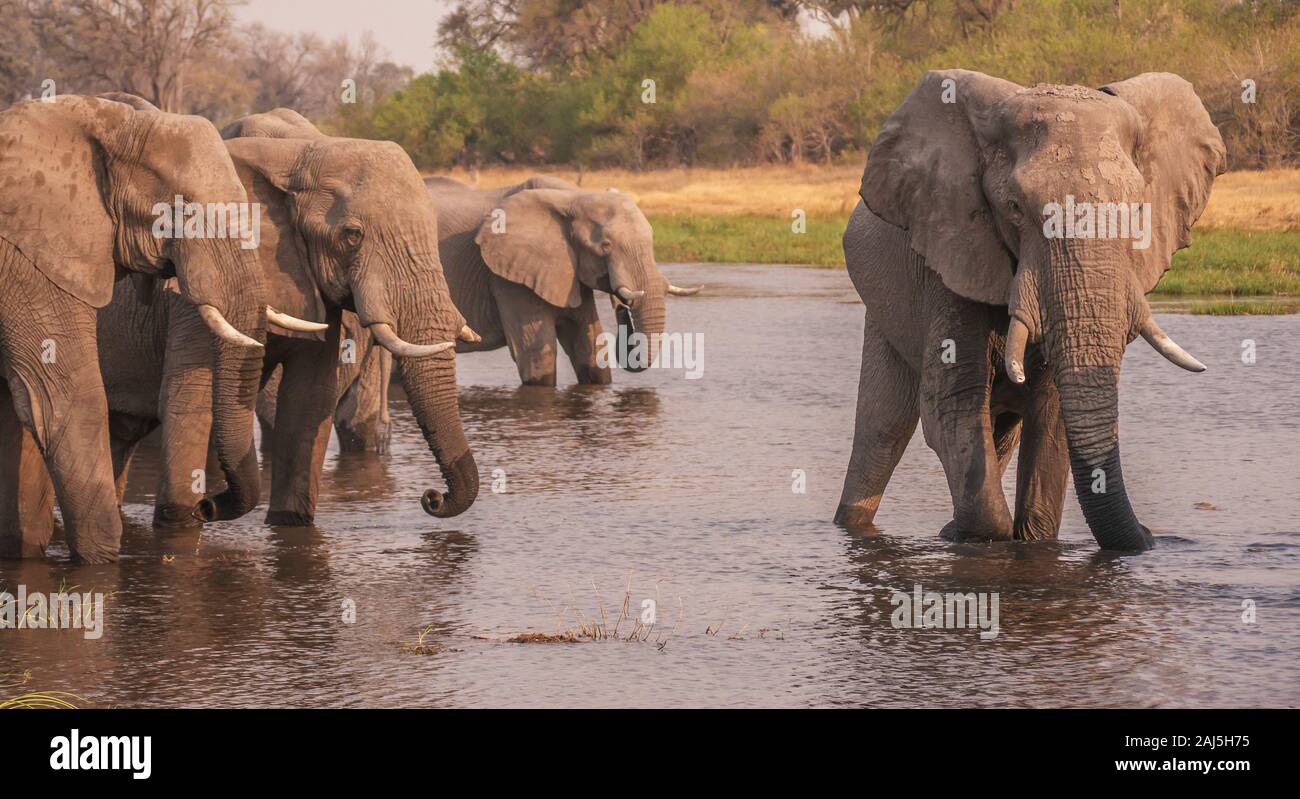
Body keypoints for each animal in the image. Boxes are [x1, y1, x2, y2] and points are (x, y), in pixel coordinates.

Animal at [0, 93, 267, 563]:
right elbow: (67, 398)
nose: (207, 505)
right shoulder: (31, 261)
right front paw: (101, 563)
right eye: (183, 210)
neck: (106, 121)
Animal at [86, 106, 480, 527]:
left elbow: (307, 402)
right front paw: (183, 520)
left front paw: (289, 523)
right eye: (352, 236)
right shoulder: (193, 286)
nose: (431, 498)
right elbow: (190, 399)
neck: (298, 153)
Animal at [832, 71, 1227, 553]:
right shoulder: (950, 252)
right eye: (1015, 209)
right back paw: (855, 525)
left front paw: (1029, 543)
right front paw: (976, 540)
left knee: (998, 430)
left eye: (1138, 210)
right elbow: (951, 401)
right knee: (883, 426)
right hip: (884, 310)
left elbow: (1050, 415)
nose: (1152, 536)